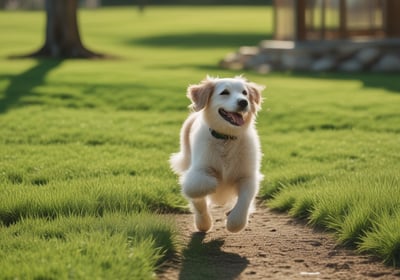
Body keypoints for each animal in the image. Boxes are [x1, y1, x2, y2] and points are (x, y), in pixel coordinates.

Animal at [170, 75, 264, 233]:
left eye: (245, 93)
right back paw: (203, 223)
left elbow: (244, 202)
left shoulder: (248, 176)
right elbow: (196, 188)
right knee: (198, 203)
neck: (226, 138)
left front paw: (234, 222)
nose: (243, 102)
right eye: (224, 92)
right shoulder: (198, 171)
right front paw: (215, 185)